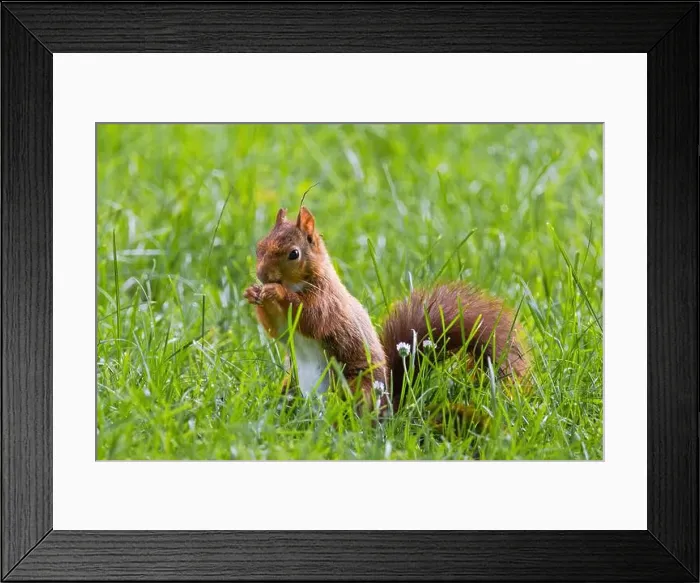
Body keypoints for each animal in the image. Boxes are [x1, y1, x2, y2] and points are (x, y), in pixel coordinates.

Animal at [244, 206, 529, 421]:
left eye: (294, 254)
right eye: (259, 246)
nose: (262, 275)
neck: (299, 283)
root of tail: (390, 409)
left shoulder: (327, 303)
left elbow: (310, 318)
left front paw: (275, 292)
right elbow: (278, 331)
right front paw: (254, 294)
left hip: (357, 386)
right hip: (291, 385)